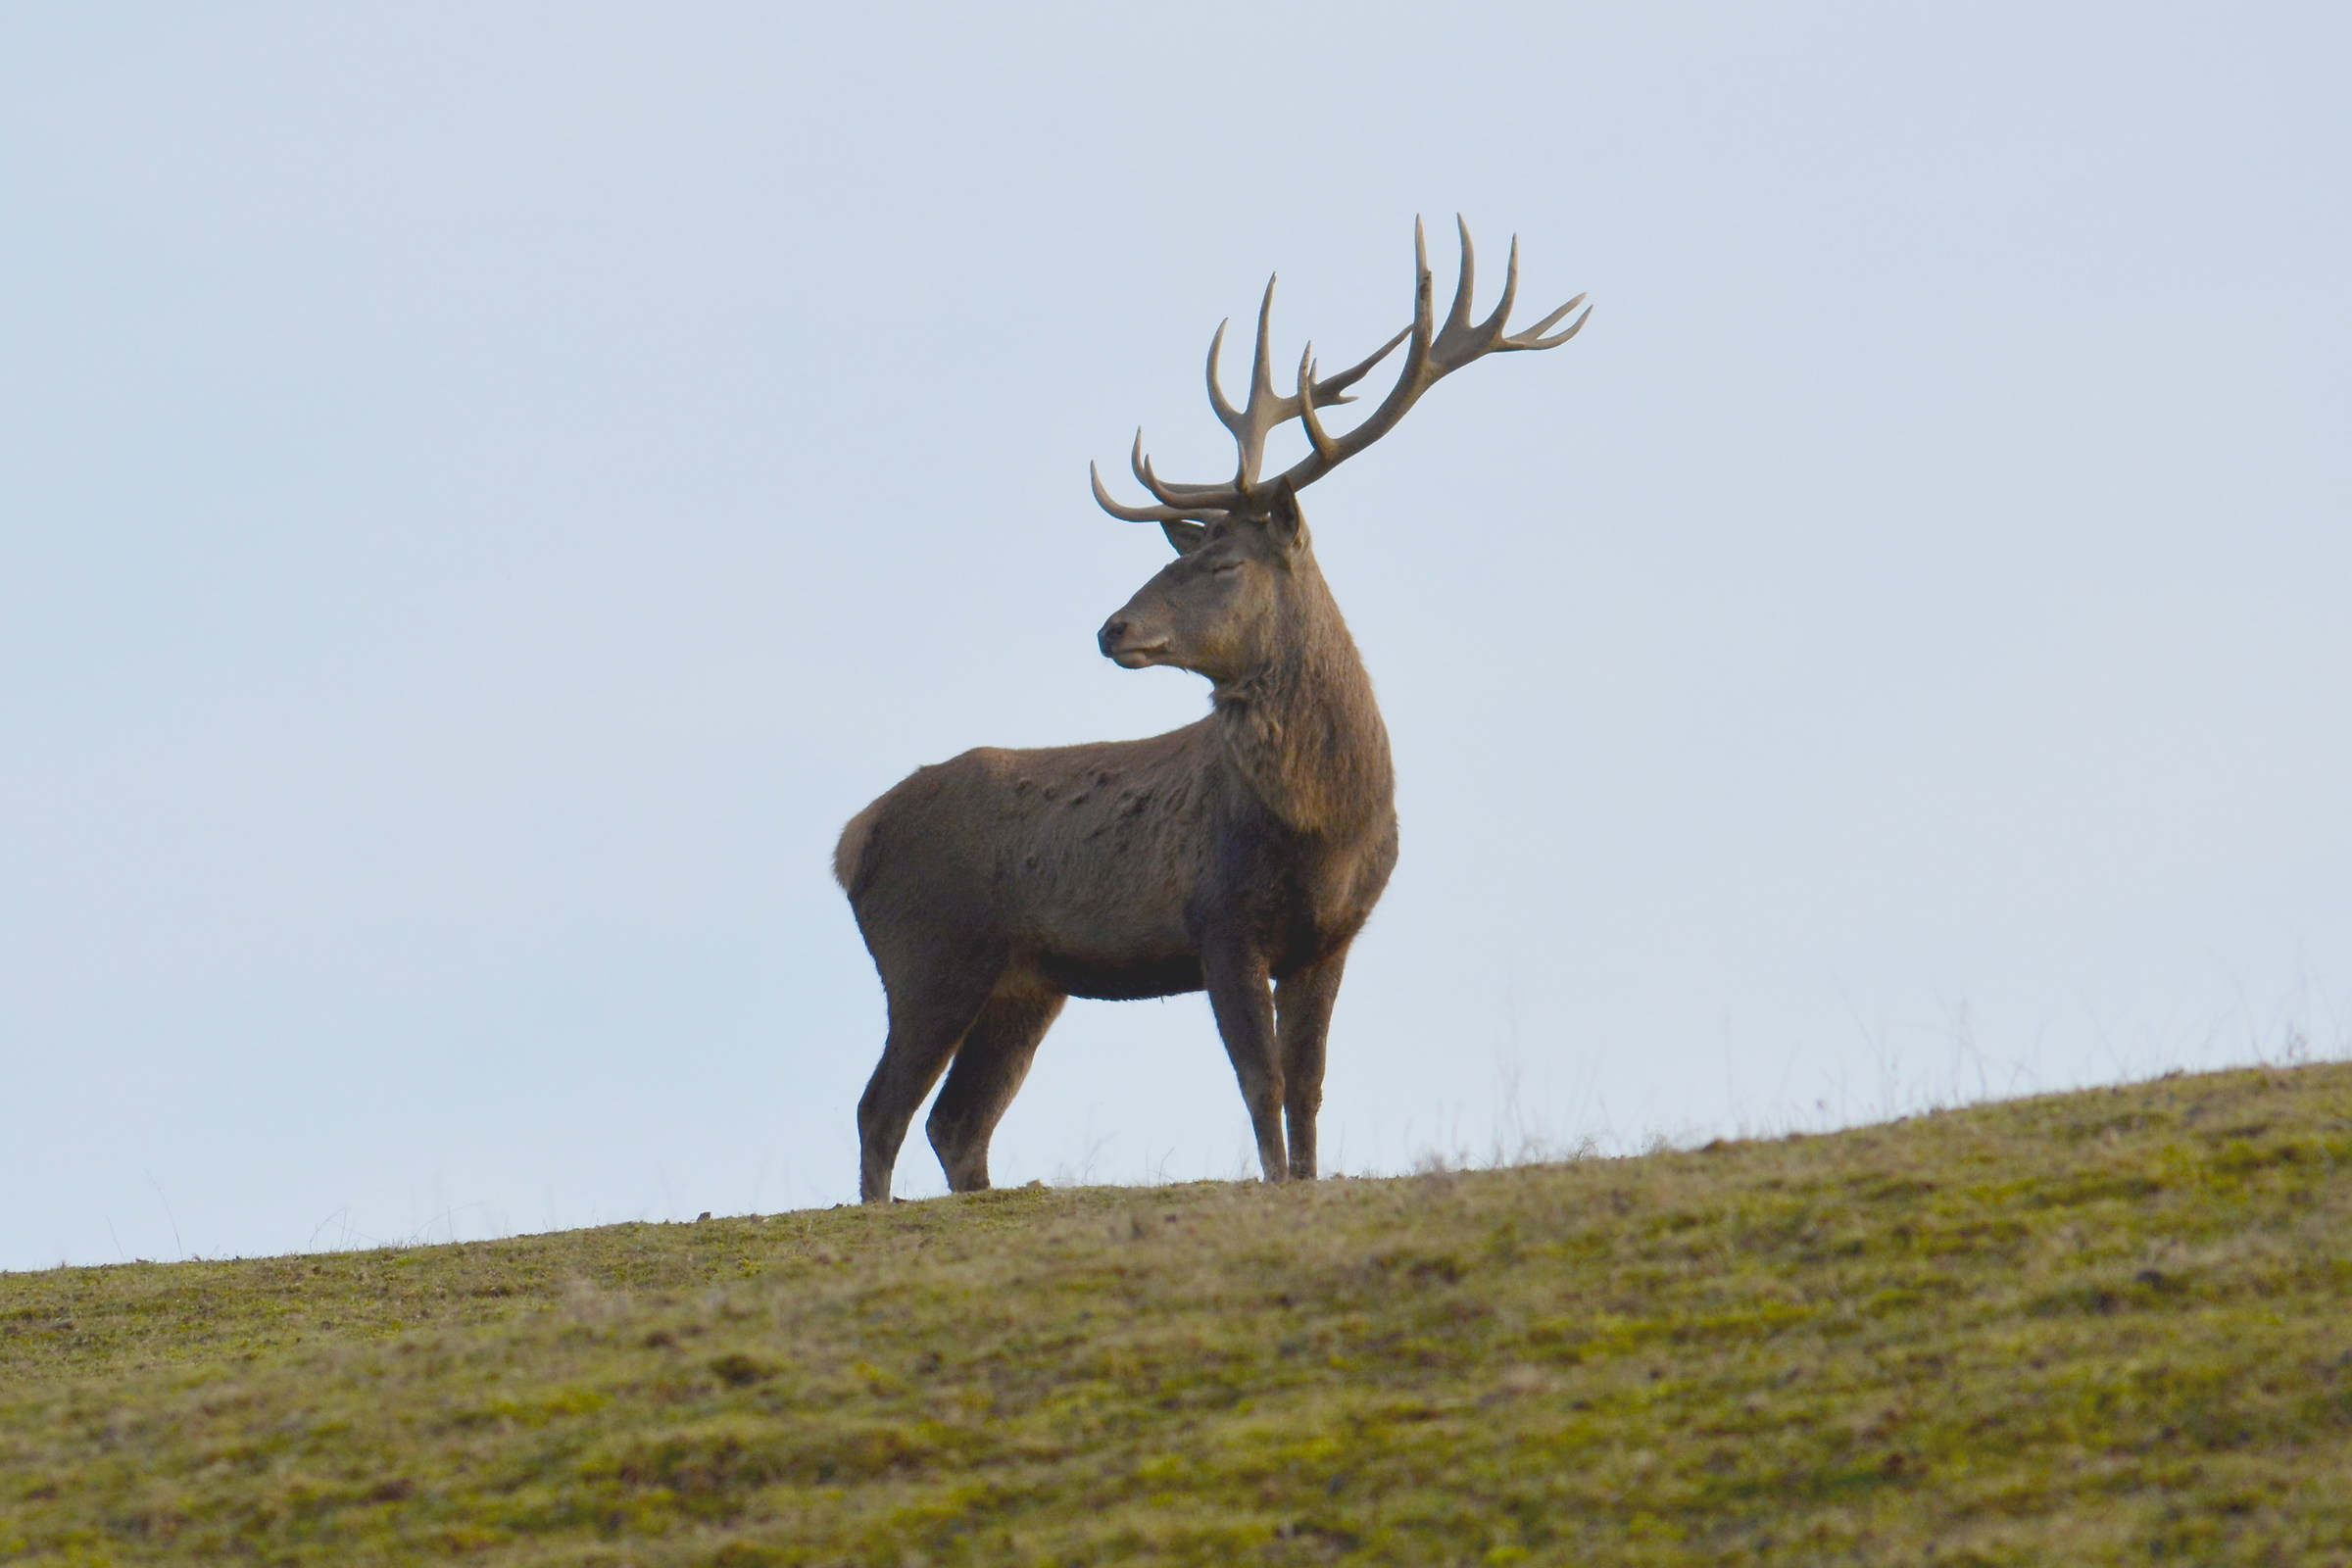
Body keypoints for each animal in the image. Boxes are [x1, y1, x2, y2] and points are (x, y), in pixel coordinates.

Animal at [834, 218, 1589, 1203]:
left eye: (1222, 563)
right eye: (1178, 556)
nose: (1113, 628)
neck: (1328, 828)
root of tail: (852, 840)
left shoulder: (1331, 937)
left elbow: (1307, 1084)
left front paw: (1304, 1181)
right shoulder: (1218, 921)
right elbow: (1259, 1080)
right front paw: (1273, 1185)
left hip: (1025, 983)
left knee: (956, 1121)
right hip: (930, 952)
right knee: (881, 1108)